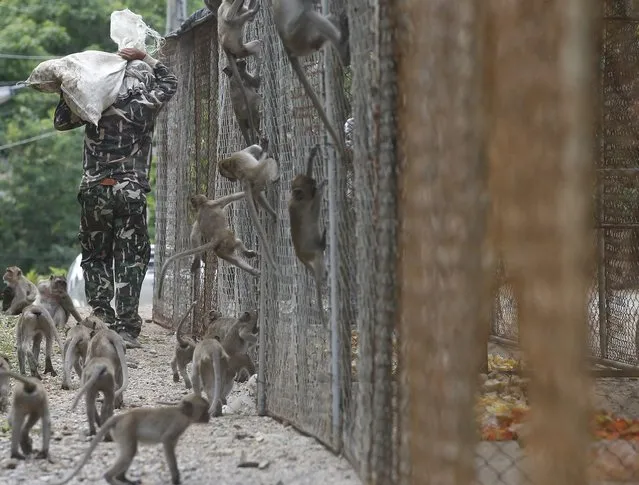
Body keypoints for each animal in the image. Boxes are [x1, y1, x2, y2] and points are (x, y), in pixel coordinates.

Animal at [50, 394, 210, 484]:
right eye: (205, 410)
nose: (209, 416)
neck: (183, 414)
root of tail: (121, 417)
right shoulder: (177, 425)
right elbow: (167, 444)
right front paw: (176, 479)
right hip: (125, 429)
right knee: (129, 452)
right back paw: (111, 478)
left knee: (130, 451)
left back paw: (123, 479)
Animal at [218, 0, 262, 146]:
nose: (241, 65)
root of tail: (224, 46)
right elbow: (228, 18)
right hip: (235, 46)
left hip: (240, 50)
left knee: (256, 44)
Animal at [219, 138, 278, 272]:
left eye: (227, 176)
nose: (231, 180)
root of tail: (245, 177)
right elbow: (257, 151)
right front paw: (264, 149)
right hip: (259, 173)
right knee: (268, 162)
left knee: (258, 195)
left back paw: (272, 214)